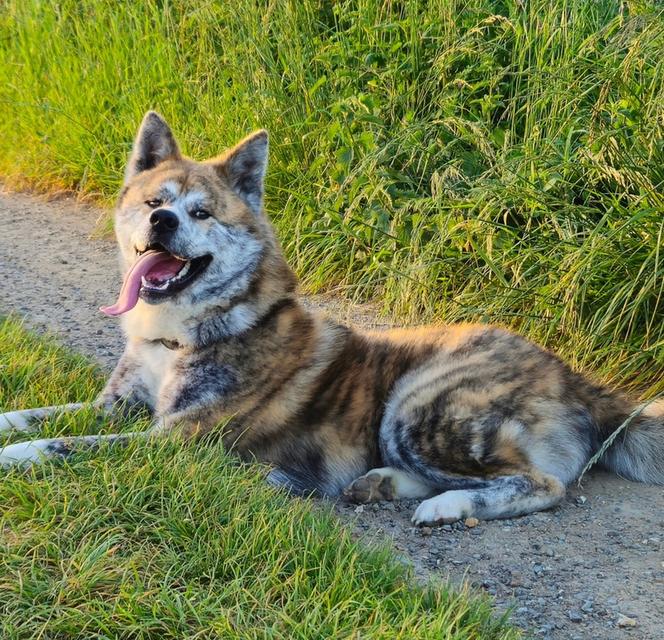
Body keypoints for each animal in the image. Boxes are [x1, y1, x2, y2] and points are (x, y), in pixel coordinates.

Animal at [1, 114, 664, 524]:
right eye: (154, 202)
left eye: (202, 212)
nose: (162, 222)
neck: (181, 332)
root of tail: (575, 378)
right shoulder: (117, 406)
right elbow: (46, 415)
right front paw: (11, 421)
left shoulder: (180, 438)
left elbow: (69, 444)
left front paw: (19, 454)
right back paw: (381, 484)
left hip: (418, 404)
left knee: (542, 486)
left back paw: (444, 507)